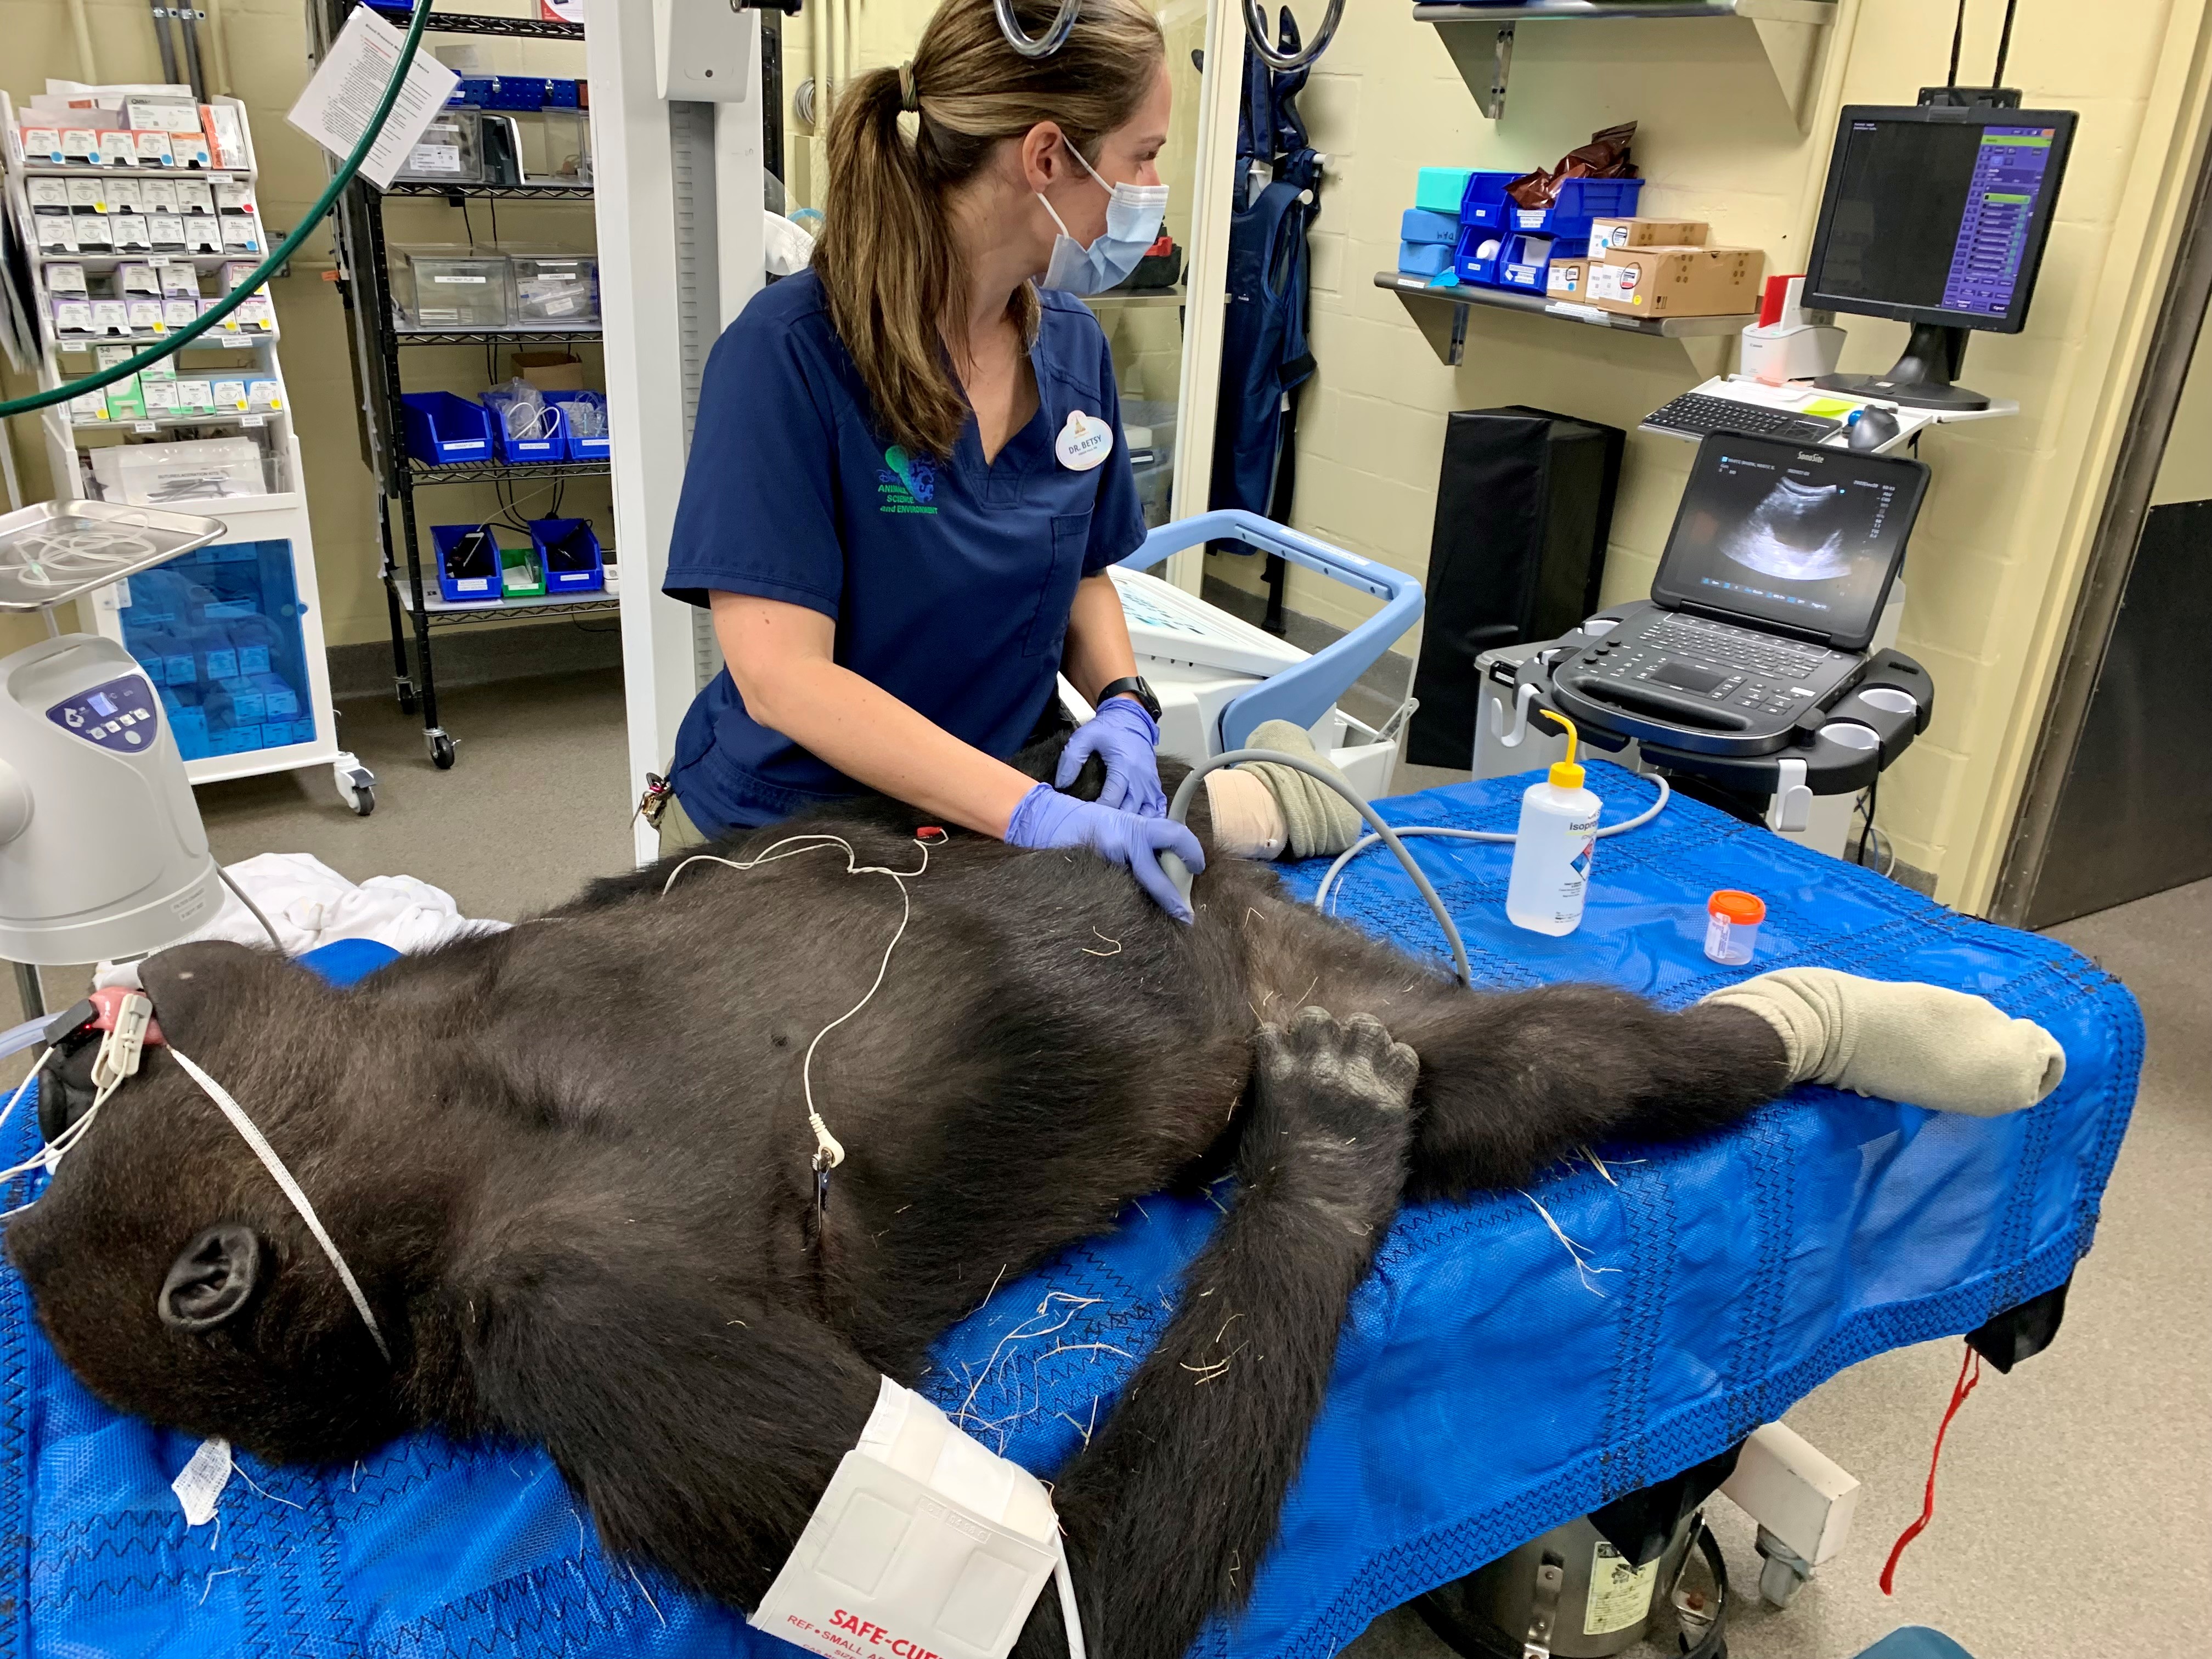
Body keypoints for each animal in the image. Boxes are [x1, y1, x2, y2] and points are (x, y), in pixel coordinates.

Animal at [8, 752, 2061, 1659]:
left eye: (98, 1069)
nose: (80, 1034)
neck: (433, 1116)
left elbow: (761, 845)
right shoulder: (575, 1327)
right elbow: (1063, 1591)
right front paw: (1331, 1154)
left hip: (1241, 931)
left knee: (1562, 1039)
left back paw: (1868, 1019)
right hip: (1285, 1001)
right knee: (1486, 1086)